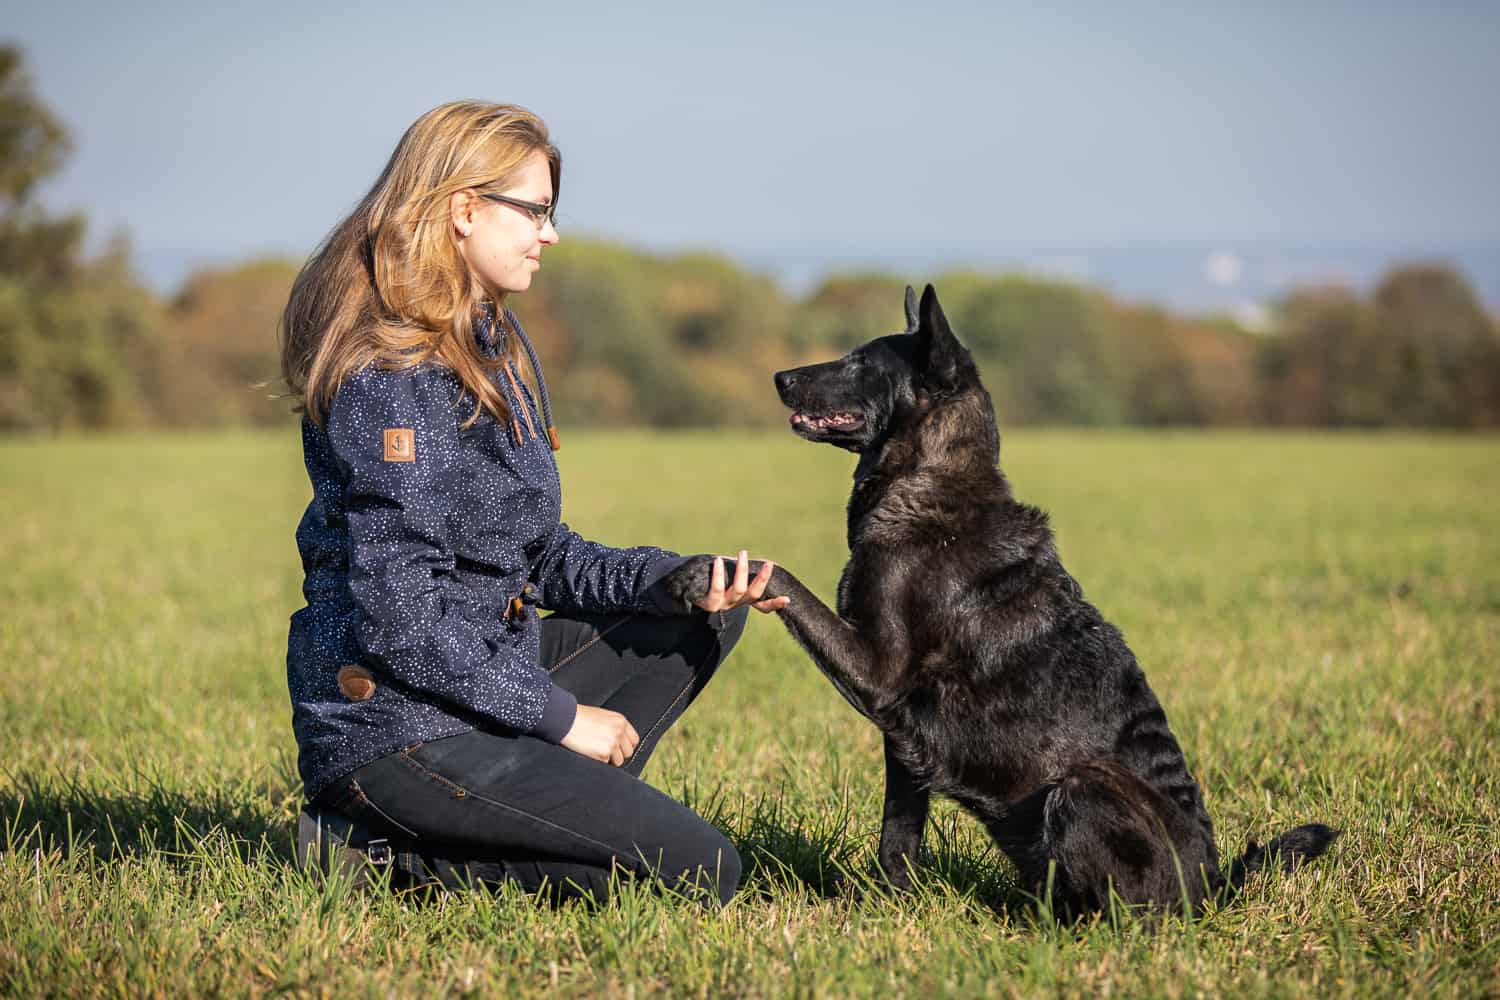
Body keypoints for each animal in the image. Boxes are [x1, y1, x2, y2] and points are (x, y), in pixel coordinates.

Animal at [669, 284, 1338, 917]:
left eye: (860, 362)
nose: (779, 377)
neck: (930, 482)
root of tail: (1216, 884)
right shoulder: (904, 741)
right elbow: (897, 837)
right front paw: (888, 906)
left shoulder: (878, 673)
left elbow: (781, 576)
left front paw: (706, 571)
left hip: (1081, 789)